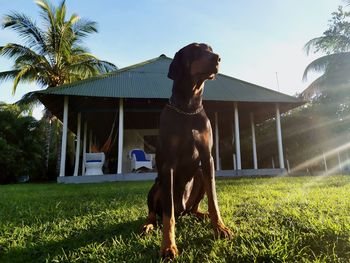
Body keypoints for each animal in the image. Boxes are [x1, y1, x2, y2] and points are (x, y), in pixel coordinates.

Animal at [141, 43, 231, 260]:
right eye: (195, 50)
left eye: (211, 49)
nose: (218, 58)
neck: (189, 108)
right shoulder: (168, 166)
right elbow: (168, 215)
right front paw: (168, 246)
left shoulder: (207, 159)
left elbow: (214, 201)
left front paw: (220, 228)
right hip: (157, 185)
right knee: (155, 213)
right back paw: (148, 225)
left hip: (198, 176)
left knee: (193, 209)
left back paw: (202, 215)